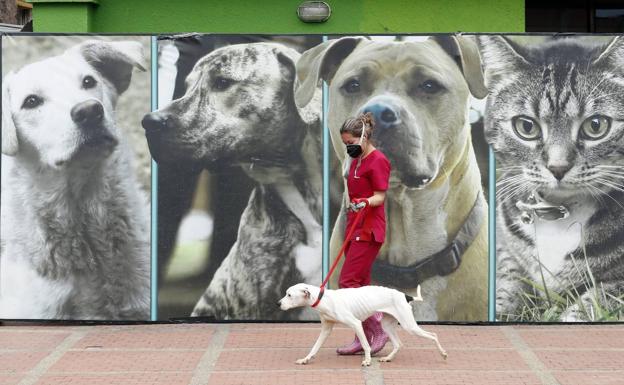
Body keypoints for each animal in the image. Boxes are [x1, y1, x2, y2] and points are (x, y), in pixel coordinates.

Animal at [280, 282, 448, 366]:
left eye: (289, 295)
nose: (278, 303)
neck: (324, 298)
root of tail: (404, 295)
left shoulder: (356, 324)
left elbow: (366, 345)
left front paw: (367, 360)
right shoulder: (326, 330)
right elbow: (314, 347)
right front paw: (306, 359)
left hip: (410, 326)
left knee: (433, 335)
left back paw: (443, 354)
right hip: (388, 326)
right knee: (398, 344)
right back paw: (388, 358)